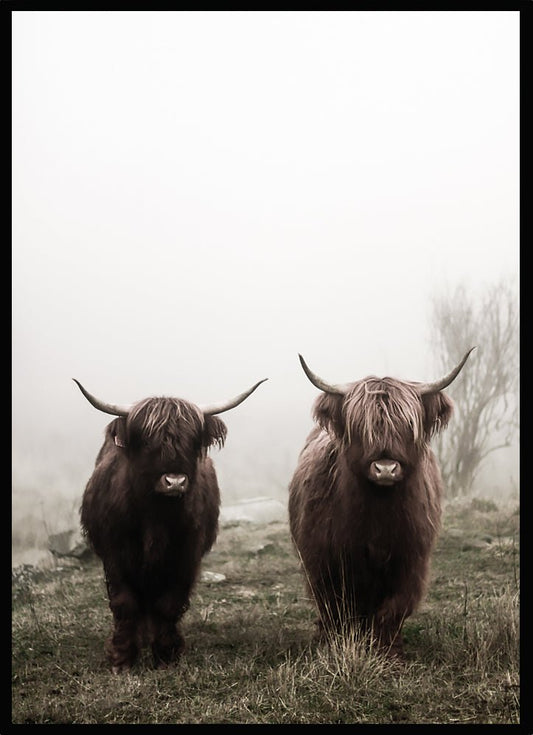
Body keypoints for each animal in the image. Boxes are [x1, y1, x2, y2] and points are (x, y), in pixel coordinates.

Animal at [75, 376, 267, 672]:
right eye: (147, 442)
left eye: (192, 441)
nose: (174, 481)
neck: (157, 516)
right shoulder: (115, 552)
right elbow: (125, 602)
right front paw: (122, 659)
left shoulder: (186, 554)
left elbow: (169, 603)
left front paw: (166, 655)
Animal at [288, 349, 474, 658]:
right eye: (359, 427)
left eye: (408, 426)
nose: (385, 469)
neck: (378, 514)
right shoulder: (324, 561)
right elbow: (336, 608)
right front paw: (335, 643)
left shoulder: (411, 560)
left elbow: (393, 609)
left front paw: (387, 650)